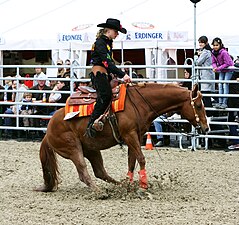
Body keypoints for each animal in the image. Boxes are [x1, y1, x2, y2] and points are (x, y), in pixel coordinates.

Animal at [36, 82, 209, 192]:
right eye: (198, 105)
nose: (206, 128)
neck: (139, 103)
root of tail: (48, 131)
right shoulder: (130, 135)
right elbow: (141, 159)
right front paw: (143, 185)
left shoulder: (135, 137)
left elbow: (132, 161)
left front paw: (130, 184)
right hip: (72, 148)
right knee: (83, 171)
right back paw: (99, 192)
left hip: (92, 149)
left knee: (100, 172)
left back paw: (119, 185)